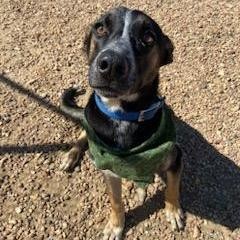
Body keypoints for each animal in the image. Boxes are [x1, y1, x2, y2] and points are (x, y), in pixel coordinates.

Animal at [60, 6, 184, 239]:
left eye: (148, 37)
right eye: (100, 28)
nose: (111, 64)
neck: (124, 114)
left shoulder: (175, 155)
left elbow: (173, 186)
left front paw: (173, 210)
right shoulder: (109, 170)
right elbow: (116, 201)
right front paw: (116, 225)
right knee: (84, 133)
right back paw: (72, 155)